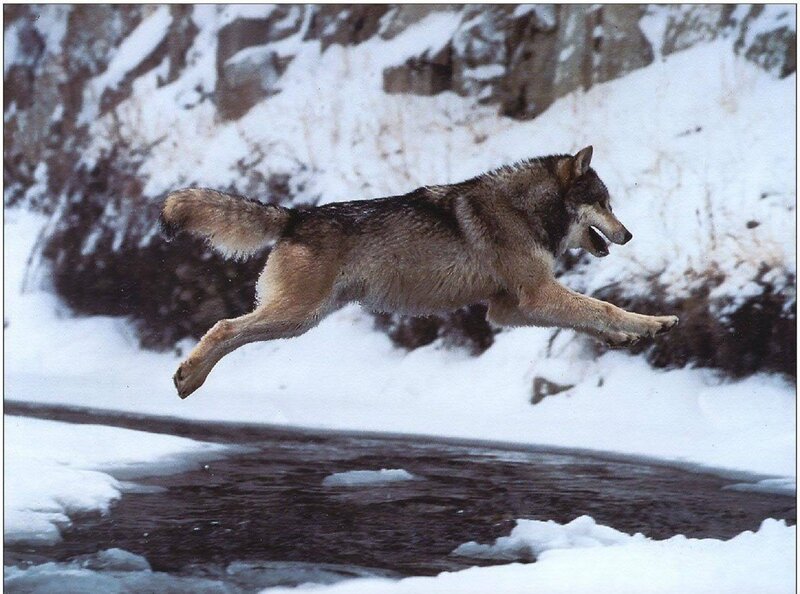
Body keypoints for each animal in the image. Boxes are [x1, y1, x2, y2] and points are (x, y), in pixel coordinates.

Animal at [161, 146, 678, 398]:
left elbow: (586, 317)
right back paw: (188, 376)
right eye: (605, 204)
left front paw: (625, 337)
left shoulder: (508, 309)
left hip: (298, 321)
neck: (523, 210)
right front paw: (654, 322)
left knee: (229, 331)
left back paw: (190, 380)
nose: (629, 234)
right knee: (223, 326)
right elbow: (602, 305)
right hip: (295, 317)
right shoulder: (535, 295)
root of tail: (295, 216)